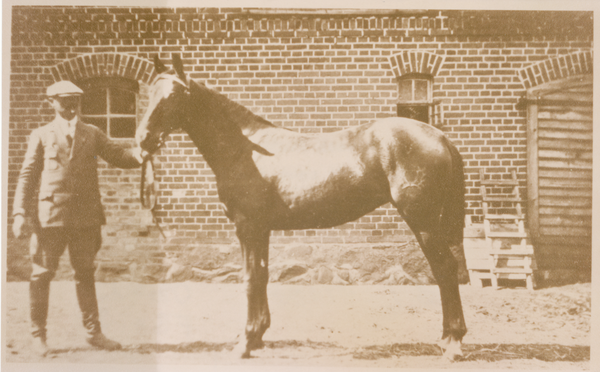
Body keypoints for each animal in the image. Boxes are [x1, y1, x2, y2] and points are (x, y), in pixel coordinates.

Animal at [137, 53, 468, 358]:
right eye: (150, 91)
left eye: (174, 95)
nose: (143, 140)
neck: (245, 149)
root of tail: (440, 136)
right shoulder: (262, 229)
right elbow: (262, 275)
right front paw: (258, 336)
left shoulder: (247, 227)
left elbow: (249, 278)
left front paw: (244, 343)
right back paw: (447, 338)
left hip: (423, 222)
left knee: (445, 269)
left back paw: (452, 342)